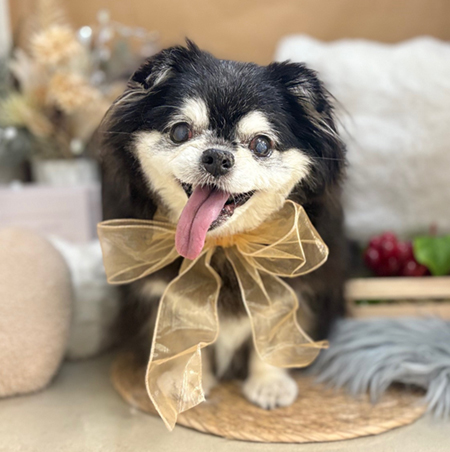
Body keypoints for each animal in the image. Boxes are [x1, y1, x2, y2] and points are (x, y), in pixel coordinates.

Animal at [100, 40, 347, 409]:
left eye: (262, 144)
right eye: (180, 131)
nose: (217, 156)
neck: (223, 247)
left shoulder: (297, 291)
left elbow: (273, 335)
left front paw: (270, 383)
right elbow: (187, 335)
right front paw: (187, 382)